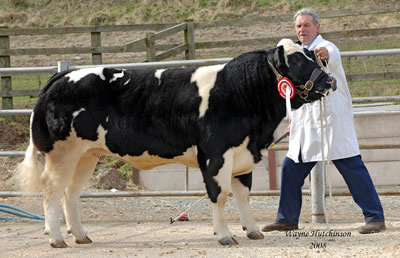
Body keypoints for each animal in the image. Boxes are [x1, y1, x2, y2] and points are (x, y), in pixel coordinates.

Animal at [17, 38, 336, 248]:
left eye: (313, 54)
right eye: (296, 60)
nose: (329, 81)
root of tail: (64, 74)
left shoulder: (243, 153)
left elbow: (243, 194)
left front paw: (253, 230)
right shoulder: (215, 154)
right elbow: (220, 195)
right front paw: (224, 236)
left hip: (86, 154)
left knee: (70, 194)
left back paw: (81, 236)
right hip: (62, 153)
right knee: (51, 191)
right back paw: (57, 239)